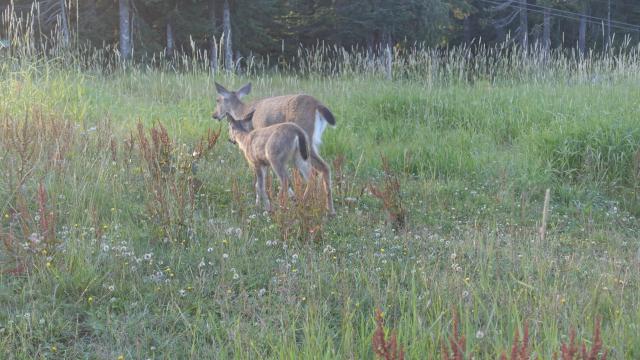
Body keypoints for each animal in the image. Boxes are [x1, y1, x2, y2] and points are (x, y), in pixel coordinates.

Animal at [212, 83, 338, 215]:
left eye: (218, 100)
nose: (214, 115)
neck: (242, 110)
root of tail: (317, 104)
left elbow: (260, 182)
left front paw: (262, 203)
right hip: (308, 146)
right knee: (322, 169)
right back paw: (327, 208)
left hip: (302, 137)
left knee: (312, 172)